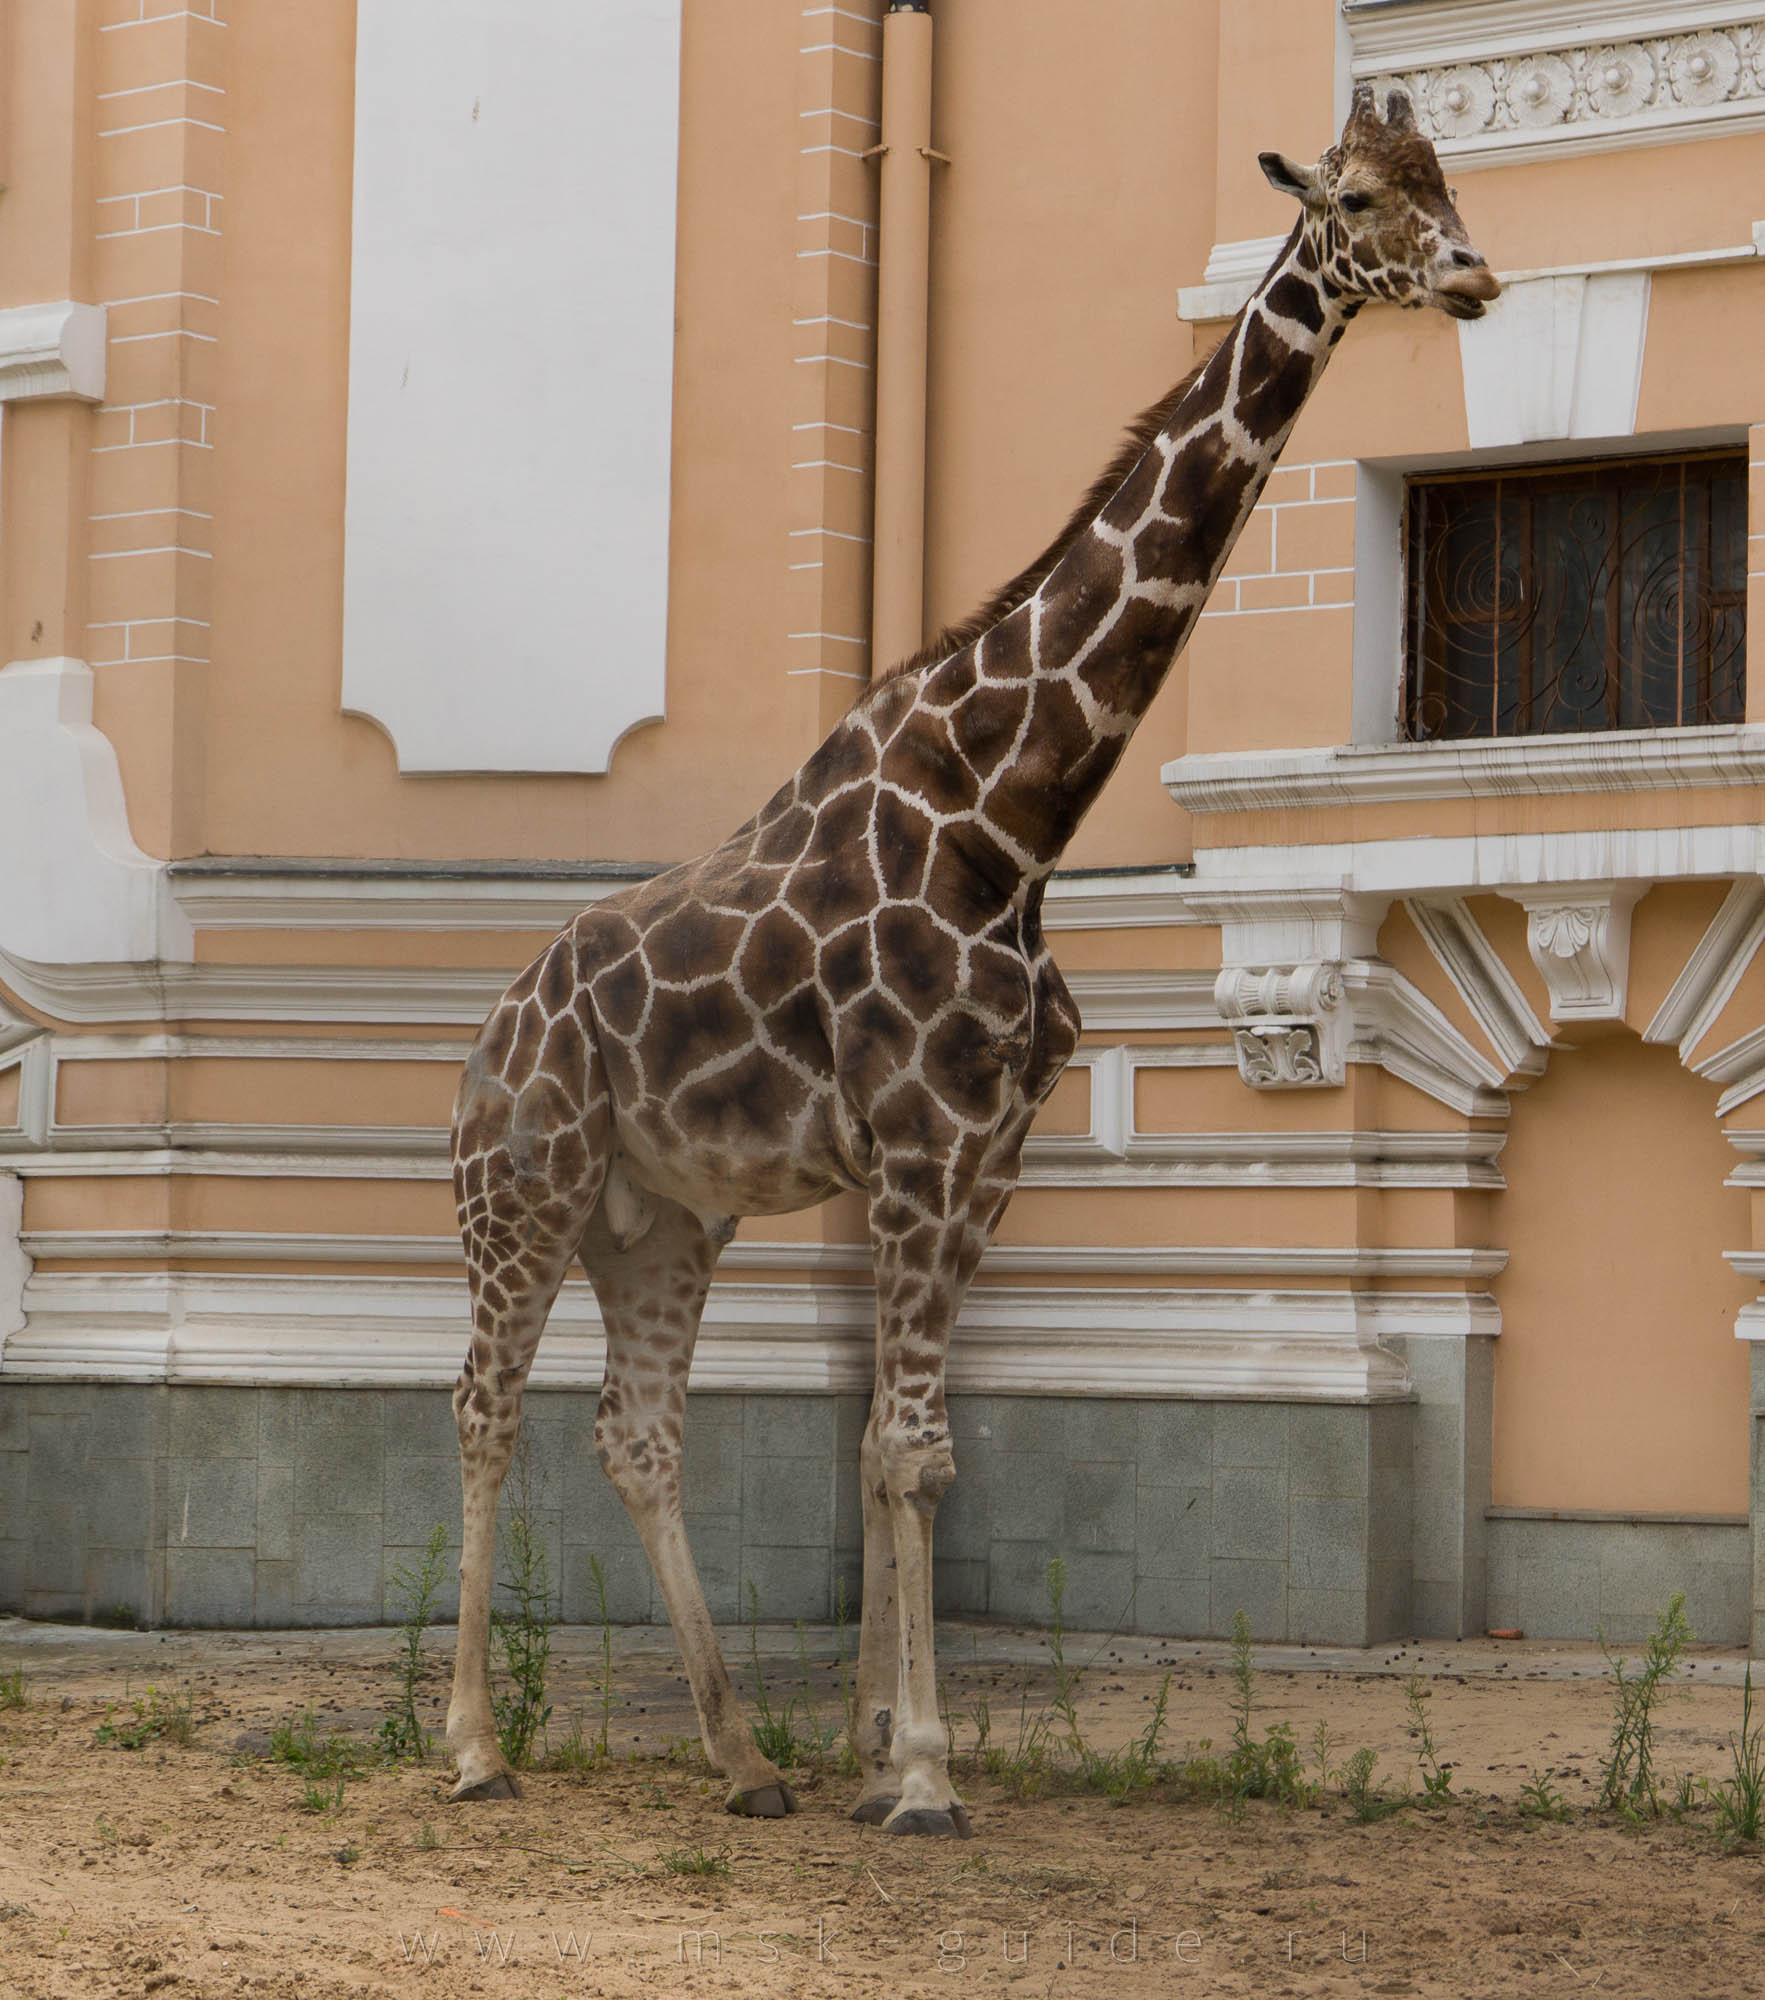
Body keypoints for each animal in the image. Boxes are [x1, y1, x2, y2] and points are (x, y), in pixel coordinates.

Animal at [444, 85, 1498, 1834]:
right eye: (1355, 196)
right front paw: (925, 1770)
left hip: (659, 1220)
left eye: (1448, 185)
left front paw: (876, 1742)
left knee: (636, 1431)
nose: (1476, 275)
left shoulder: (986, 1150)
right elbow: (904, 1446)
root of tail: (487, 1035)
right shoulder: (922, 1144)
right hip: (520, 1194)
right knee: (485, 1406)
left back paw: (742, 1759)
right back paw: (467, 1745)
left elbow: (904, 1441)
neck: (1011, 818)